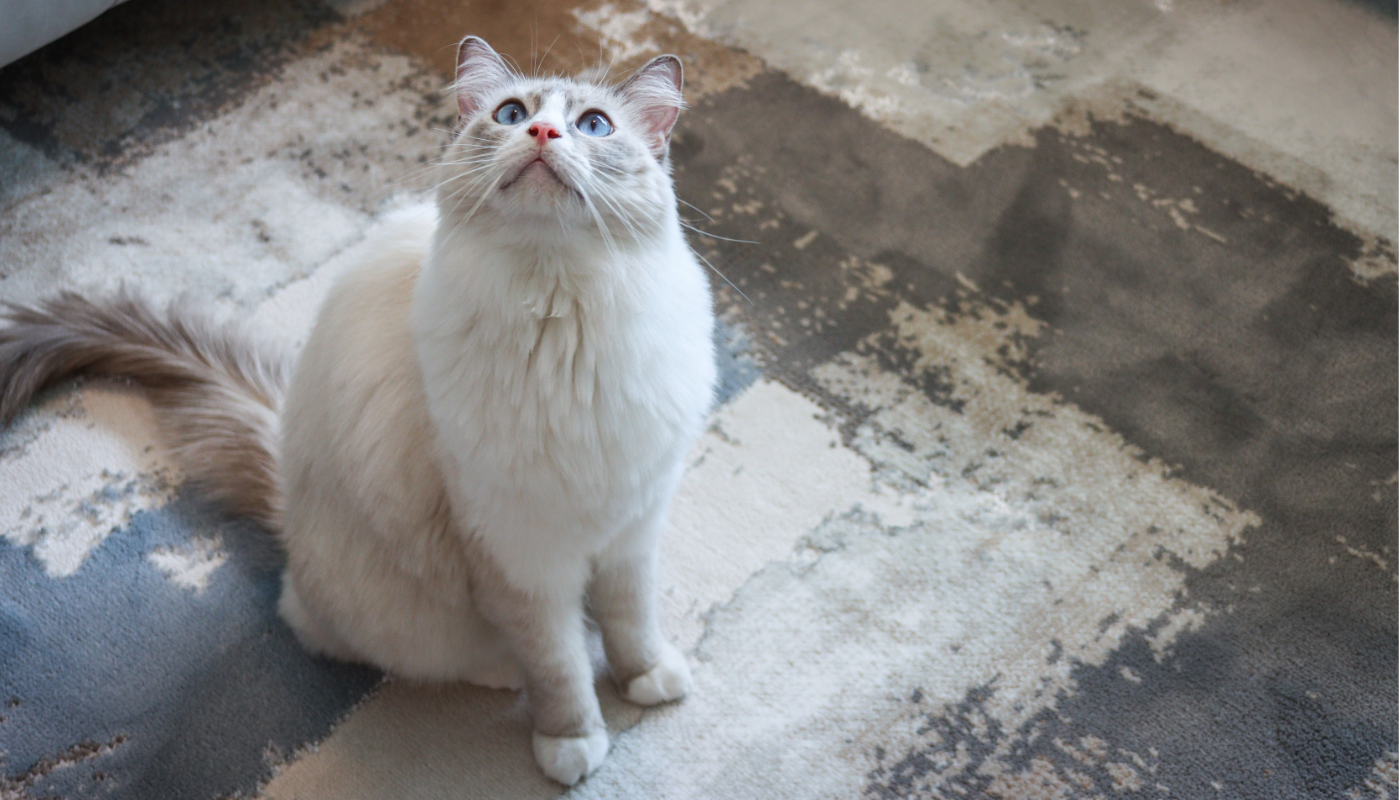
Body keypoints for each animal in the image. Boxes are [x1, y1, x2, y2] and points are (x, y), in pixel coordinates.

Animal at [0, 39, 716, 790]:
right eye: (512, 115)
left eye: (594, 126)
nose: (544, 133)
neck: (565, 321)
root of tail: (285, 490)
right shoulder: (521, 557)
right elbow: (559, 667)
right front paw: (571, 744)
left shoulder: (633, 523)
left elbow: (631, 621)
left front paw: (648, 680)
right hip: (396, 605)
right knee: (398, 642)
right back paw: (495, 669)